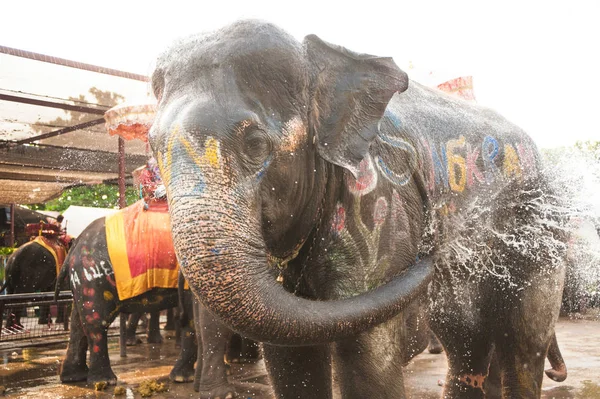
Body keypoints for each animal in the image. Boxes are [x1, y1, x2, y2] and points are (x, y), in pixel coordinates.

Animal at [148, 20, 568, 398]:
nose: (432, 249)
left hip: (539, 231)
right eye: (153, 146)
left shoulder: (378, 203)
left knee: (524, 342)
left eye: (254, 143)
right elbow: (290, 360)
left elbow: (369, 359)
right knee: (466, 343)